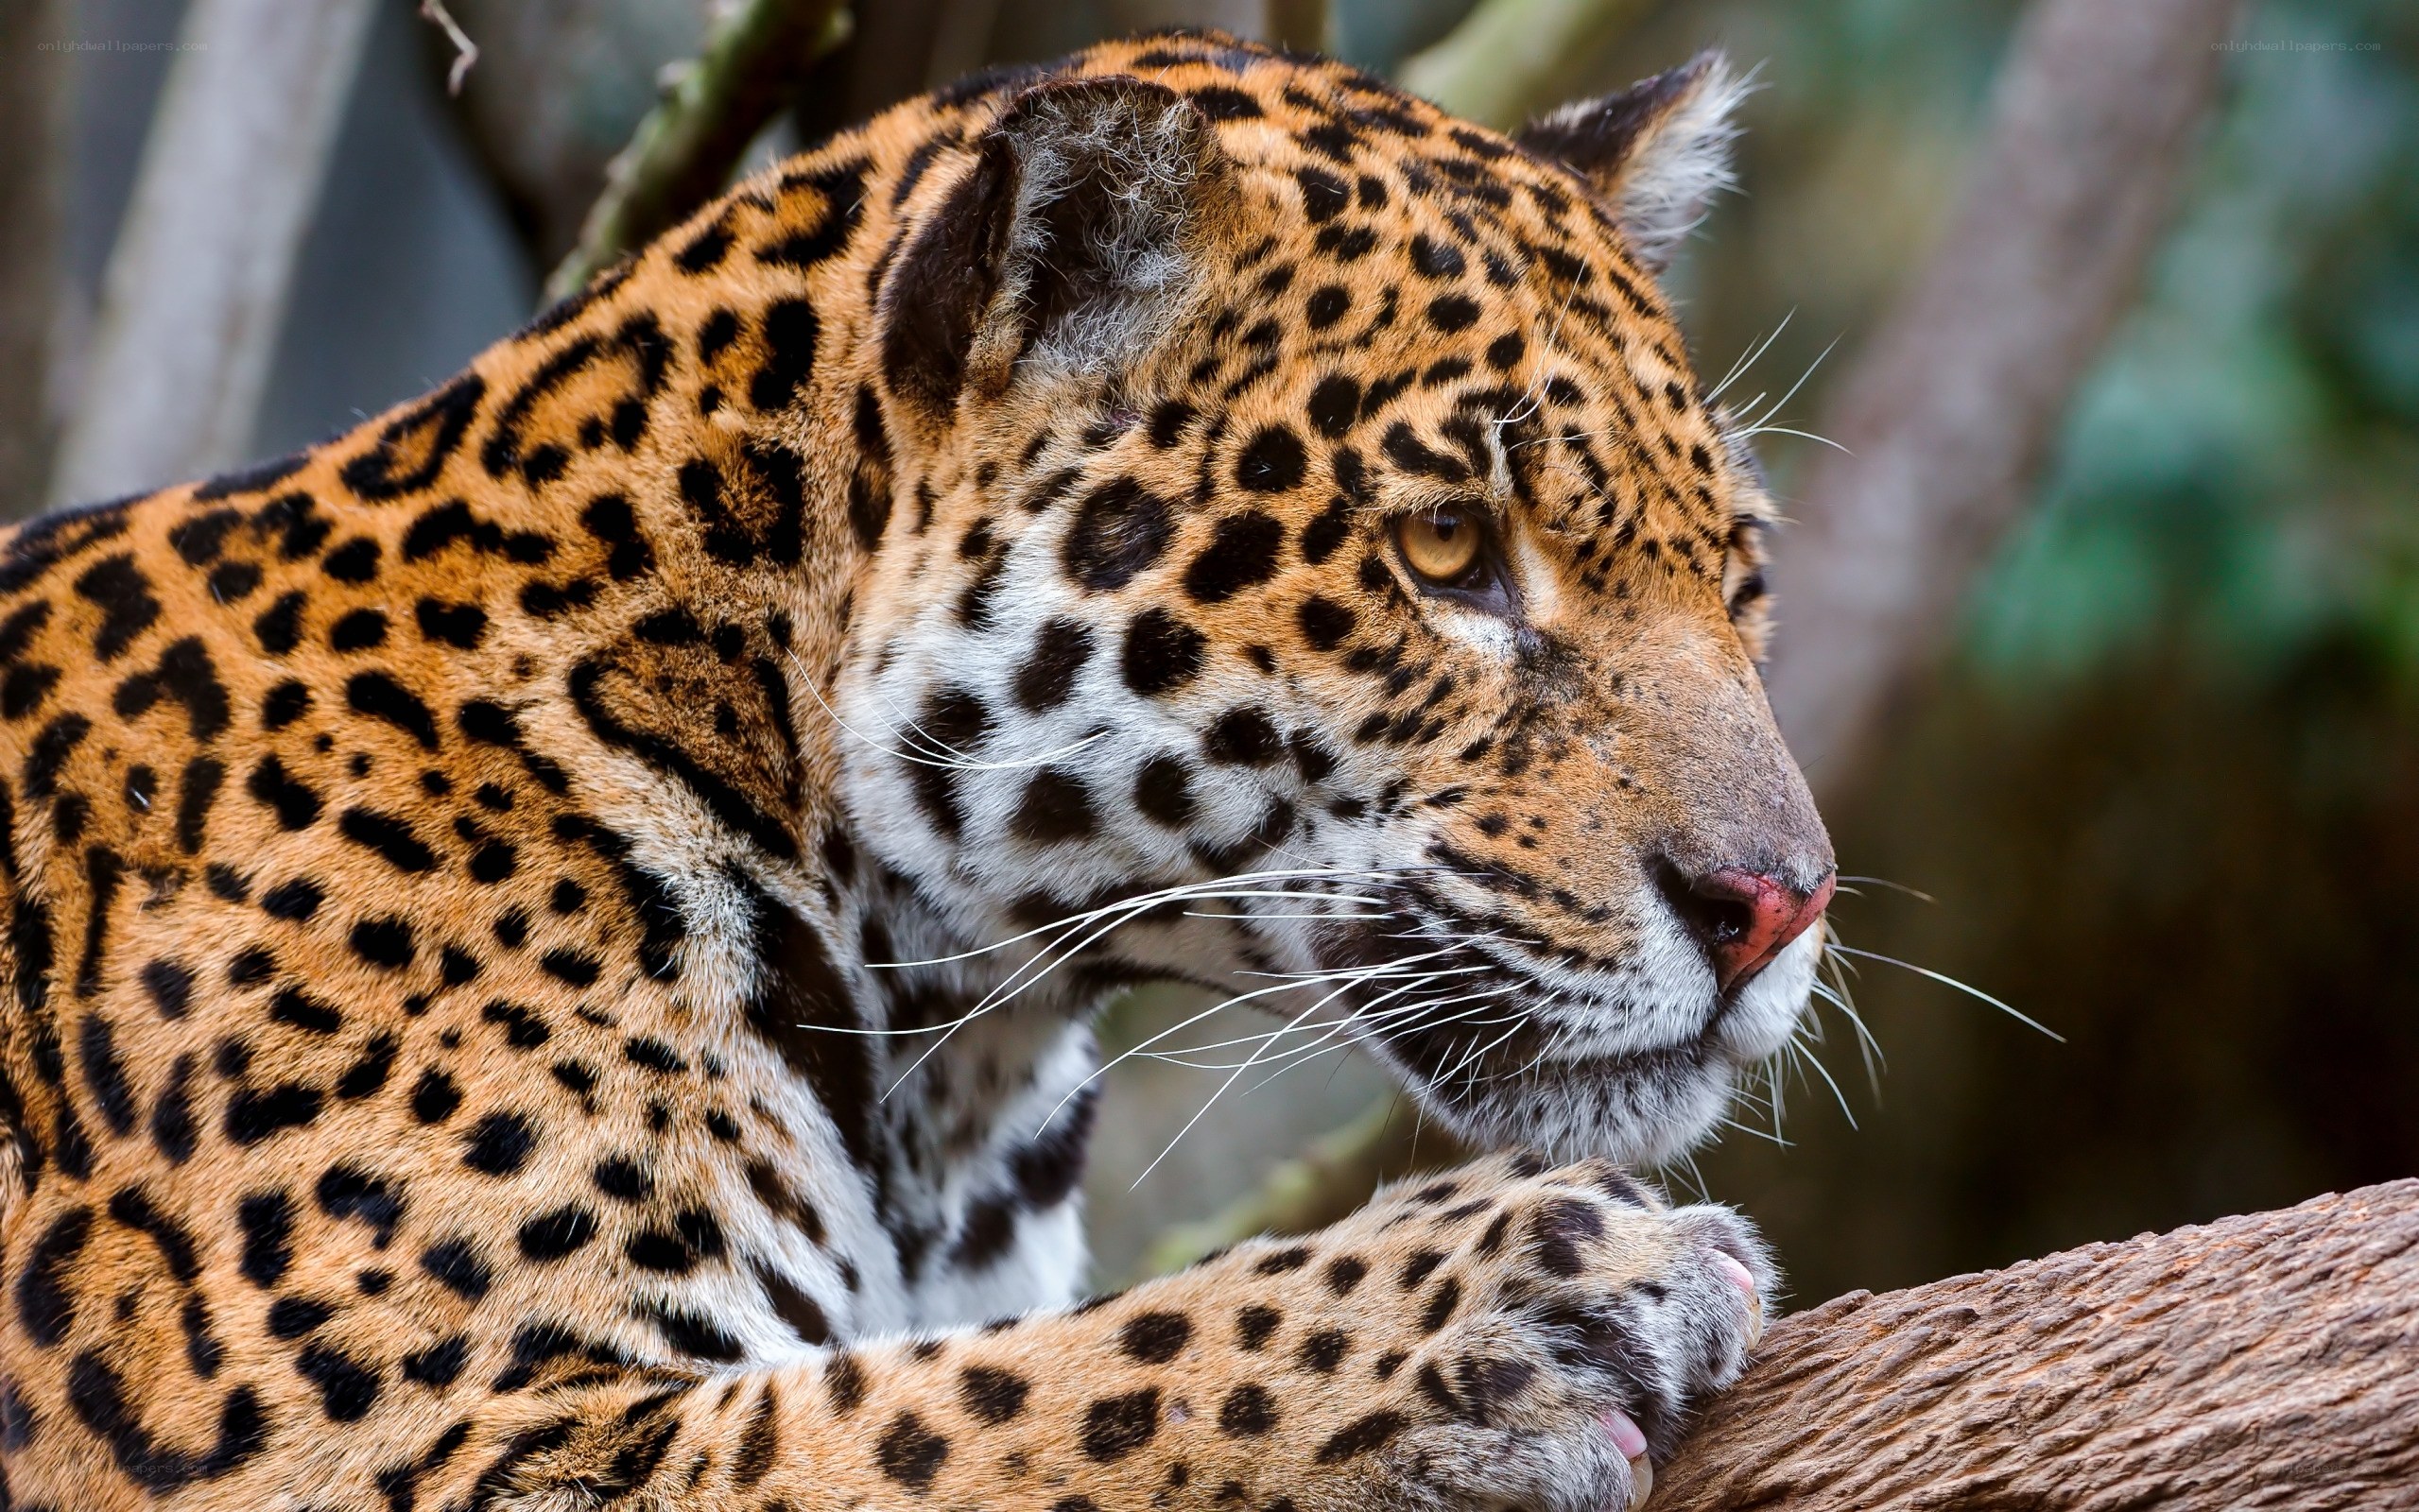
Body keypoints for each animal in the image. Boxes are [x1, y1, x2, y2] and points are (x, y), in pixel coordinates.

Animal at [0, 30, 1835, 1511]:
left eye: (1739, 574)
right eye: (1447, 548)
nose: (1775, 907)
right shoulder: (407, 1446)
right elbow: (983, 1404)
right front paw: (1498, 1302)